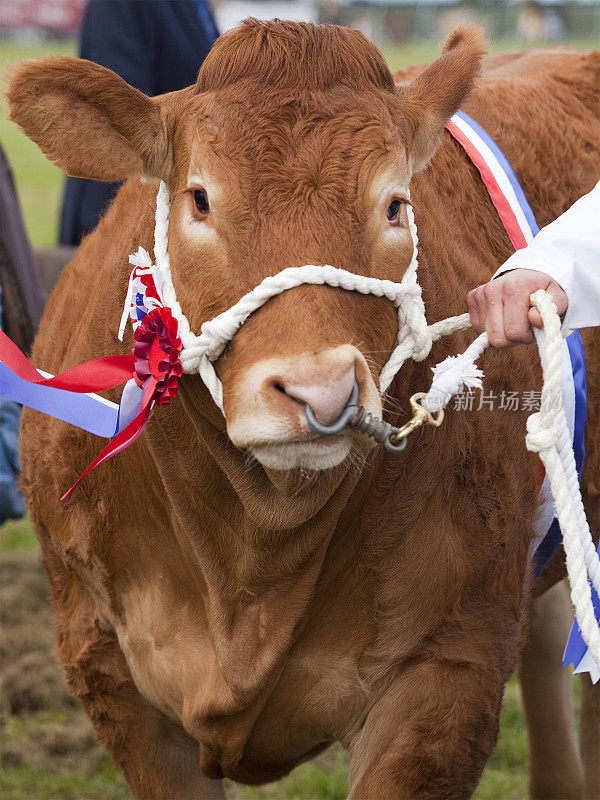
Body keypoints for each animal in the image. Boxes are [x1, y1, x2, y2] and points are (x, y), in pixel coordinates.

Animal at [5, 20, 600, 800]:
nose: (319, 393)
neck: (251, 566)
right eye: (200, 198)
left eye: (394, 204)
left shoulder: (448, 668)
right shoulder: (106, 665)